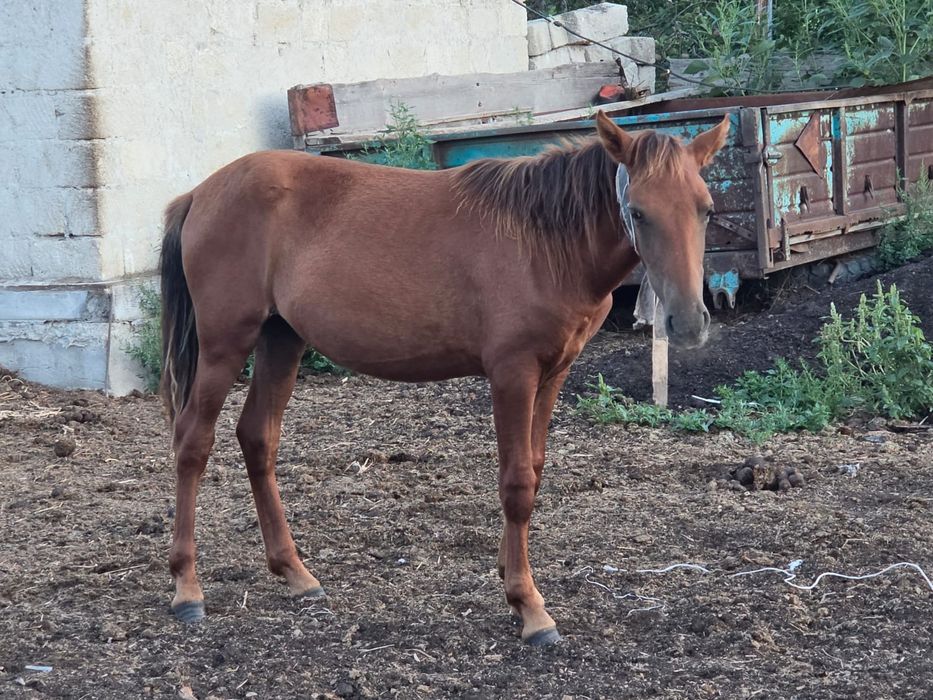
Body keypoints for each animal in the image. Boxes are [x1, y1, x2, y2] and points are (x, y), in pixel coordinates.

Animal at [159, 111, 730, 645]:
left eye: (705, 209)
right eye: (637, 211)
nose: (688, 322)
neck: (542, 242)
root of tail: (198, 194)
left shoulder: (554, 373)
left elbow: (534, 470)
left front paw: (509, 571)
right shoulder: (512, 374)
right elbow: (516, 483)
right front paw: (528, 606)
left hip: (281, 339)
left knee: (258, 438)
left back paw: (295, 573)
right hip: (225, 345)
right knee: (192, 443)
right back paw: (187, 587)